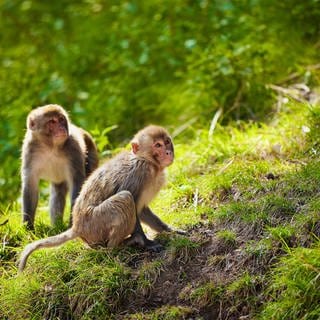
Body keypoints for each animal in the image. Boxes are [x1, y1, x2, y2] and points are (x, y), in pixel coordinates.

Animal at [19, 126, 182, 272]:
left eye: (167, 142)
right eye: (158, 145)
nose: (168, 151)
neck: (149, 162)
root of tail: (77, 227)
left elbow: (141, 210)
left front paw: (168, 230)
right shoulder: (138, 174)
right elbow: (133, 203)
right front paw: (145, 242)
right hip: (95, 223)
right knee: (125, 198)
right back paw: (119, 246)